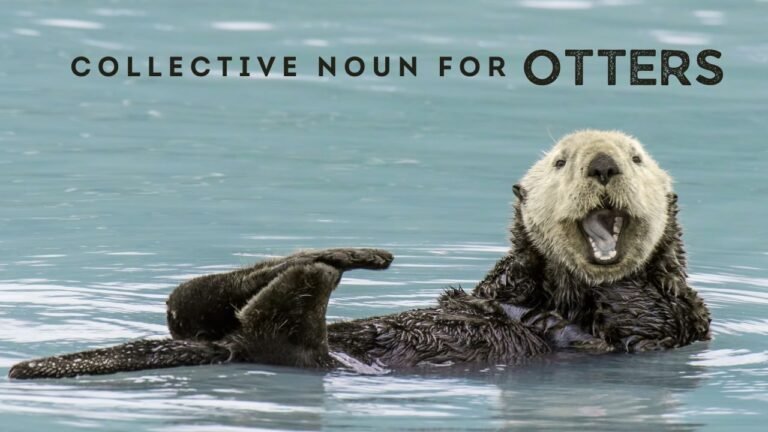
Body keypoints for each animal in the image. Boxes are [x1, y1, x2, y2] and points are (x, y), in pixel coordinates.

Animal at [8, 130, 711, 379]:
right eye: (561, 162)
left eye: (637, 158)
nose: (602, 163)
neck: (565, 290)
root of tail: (224, 346)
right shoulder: (503, 285)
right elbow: (488, 291)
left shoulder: (674, 321)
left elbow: (638, 316)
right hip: (220, 325)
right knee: (190, 304)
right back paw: (342, 255)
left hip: (305, 353)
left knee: (265, 330)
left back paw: (322, 269)